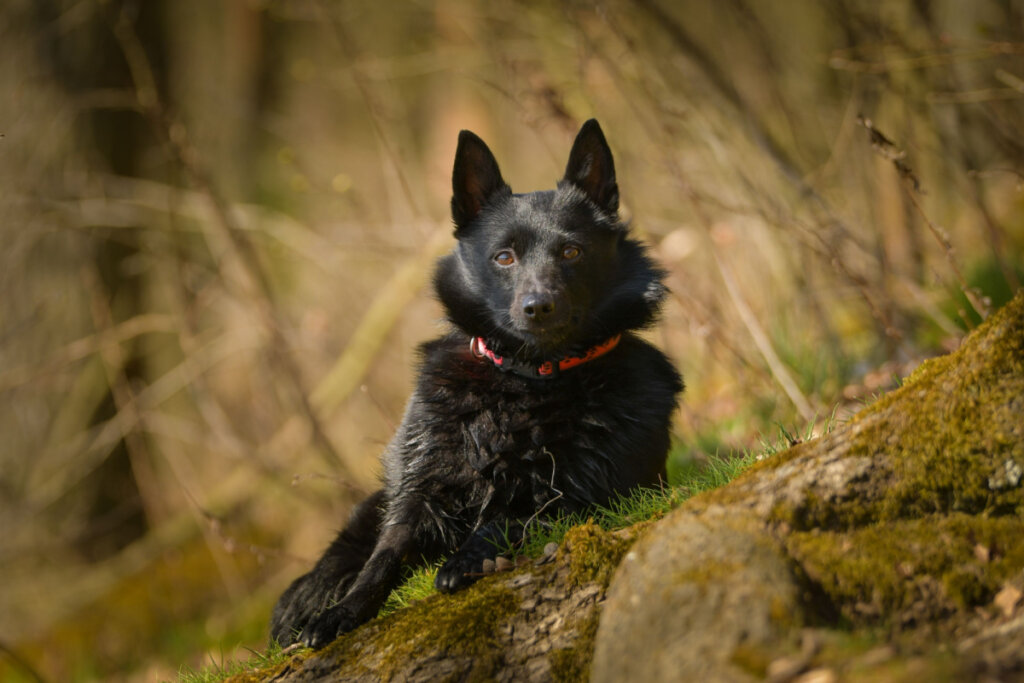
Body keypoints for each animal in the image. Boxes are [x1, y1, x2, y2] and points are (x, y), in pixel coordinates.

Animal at [272, 120, 684, 651]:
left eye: (571, 251)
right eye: (503, 257)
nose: (537, 306)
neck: (526, 380)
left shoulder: (584, 493)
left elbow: (508, 517)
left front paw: (468, 558)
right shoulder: (419, 489)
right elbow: (385, 554)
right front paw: (342, 611)